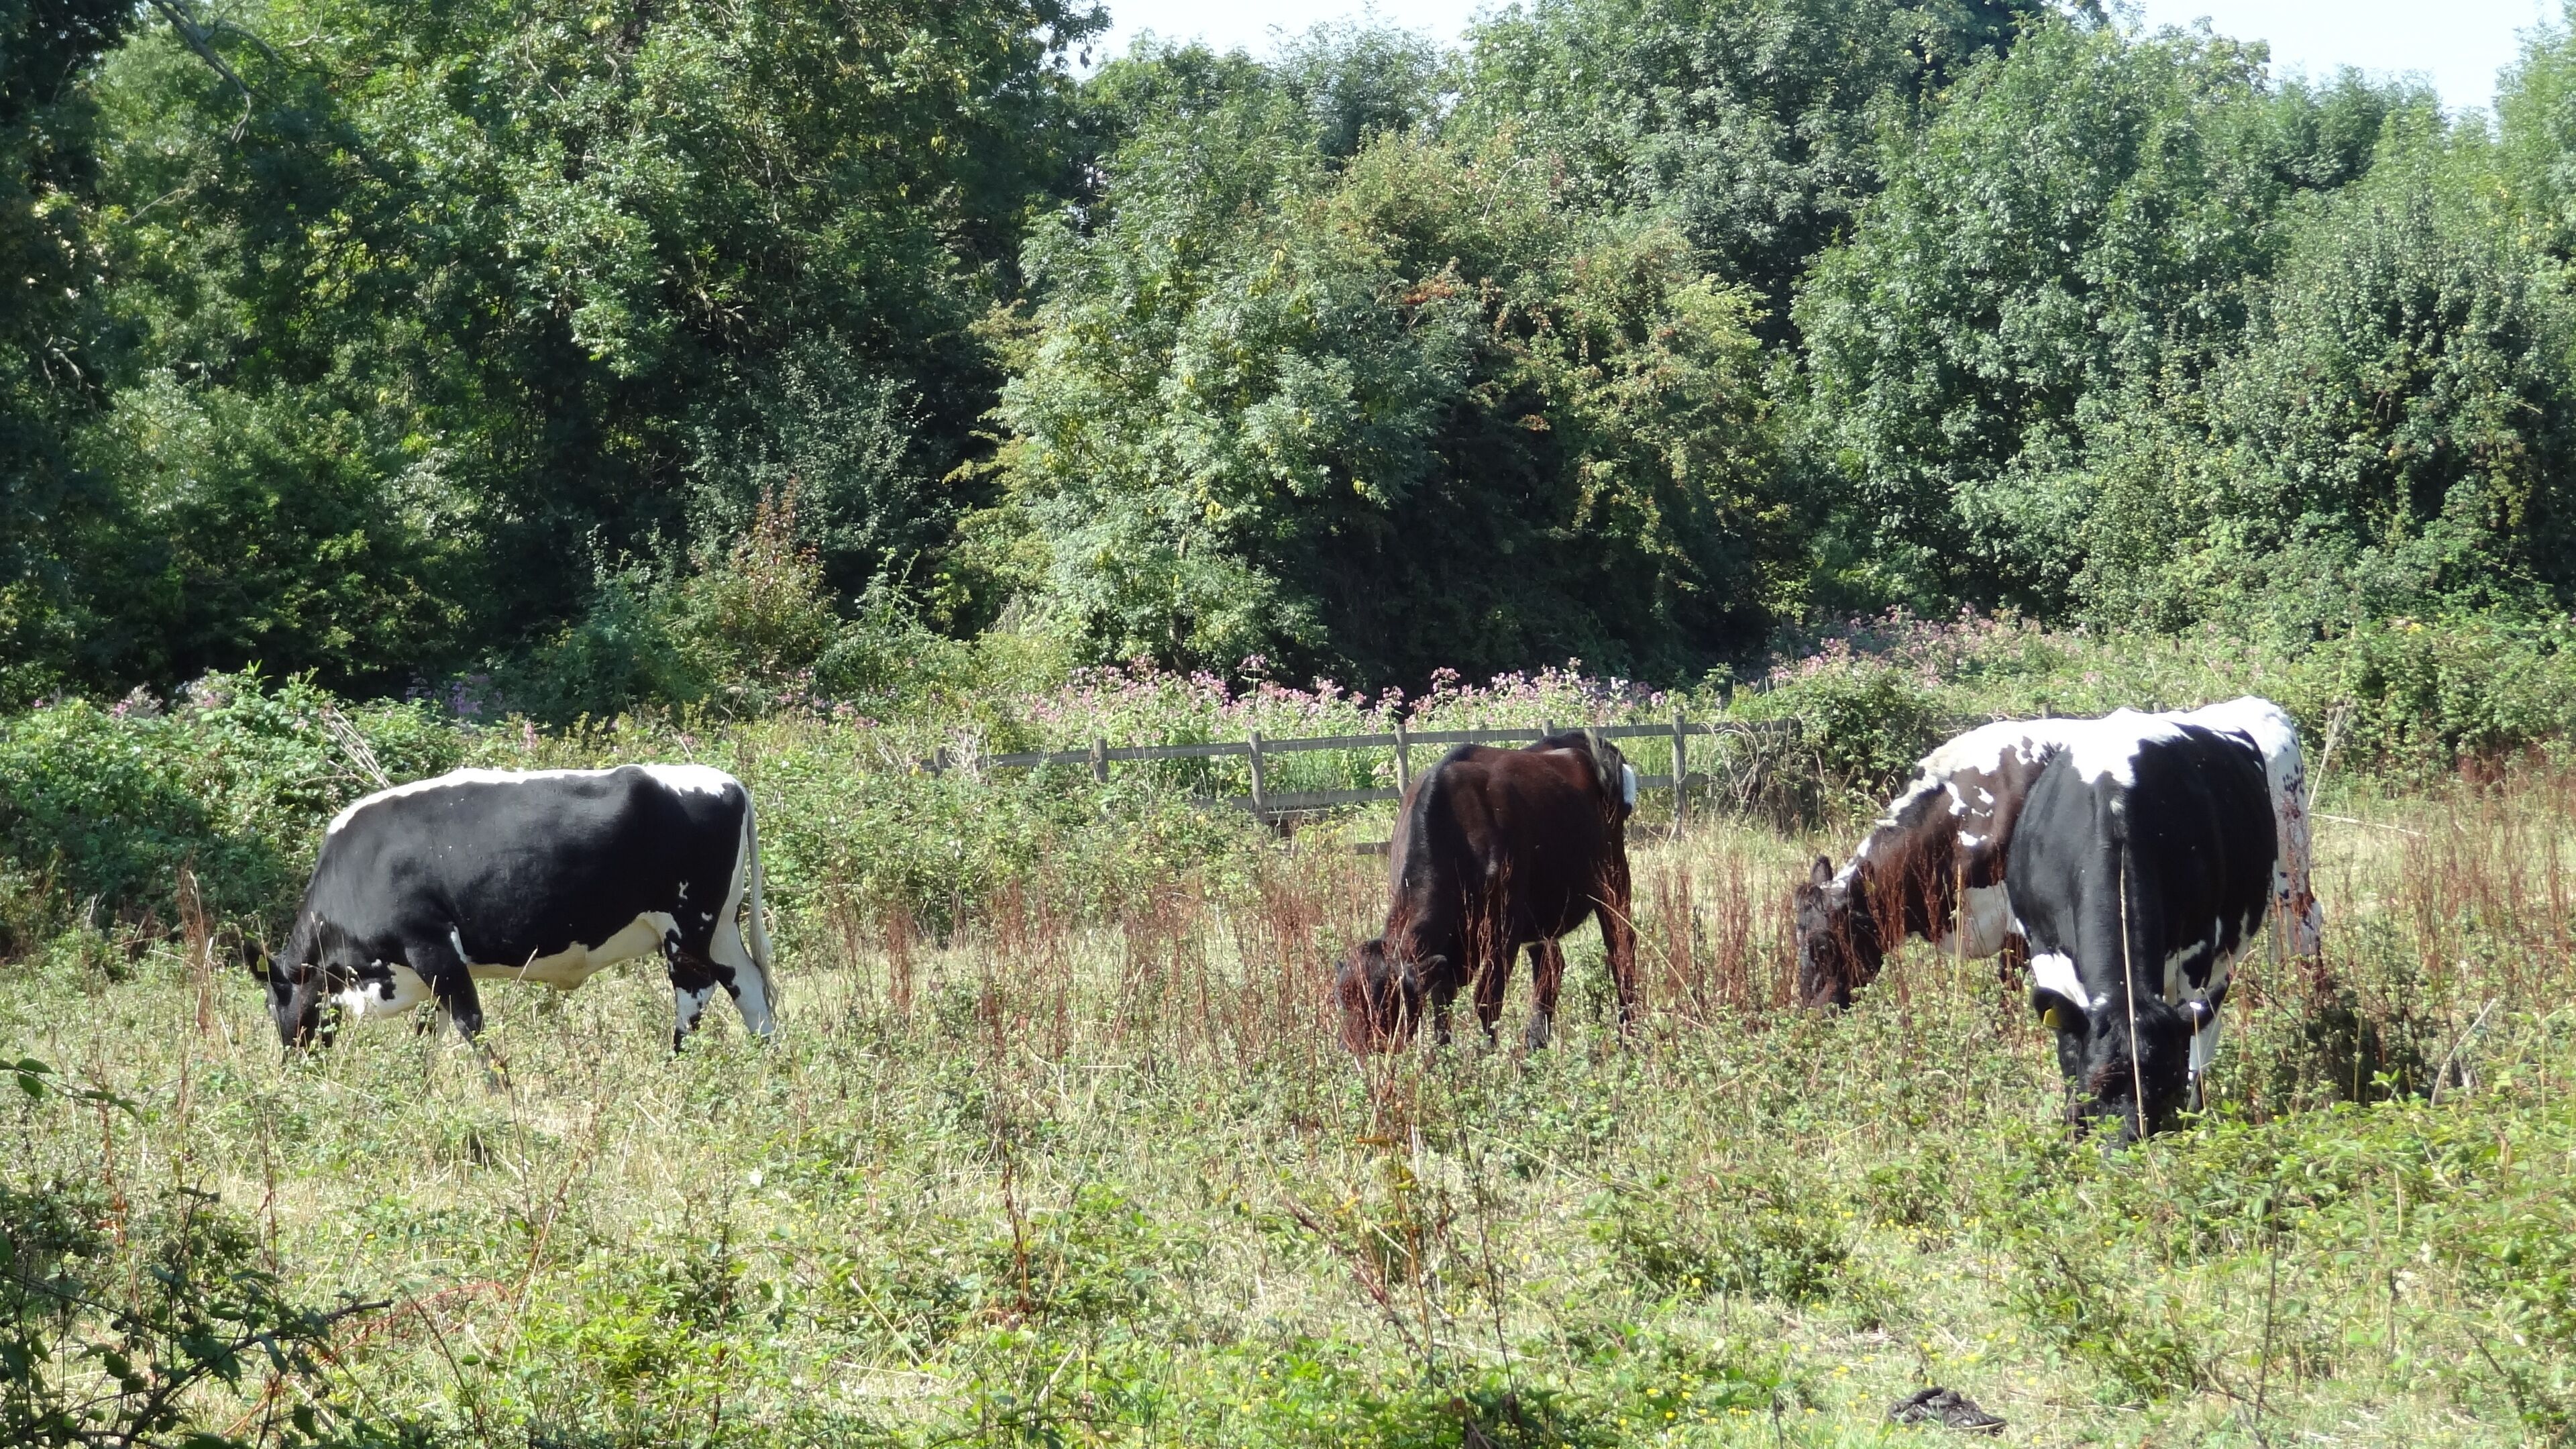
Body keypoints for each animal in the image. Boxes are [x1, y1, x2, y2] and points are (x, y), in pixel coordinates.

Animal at [250, 764, 778, 1053]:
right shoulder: (425, 967)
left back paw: (677, 1066)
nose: (292, 1066)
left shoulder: (433, 947)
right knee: (751, 990)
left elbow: (471, 1027)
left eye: (273, 1004)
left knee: (696, 995)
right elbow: (428, 1037)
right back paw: (768, 1064)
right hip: (721, 927)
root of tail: (726, 781)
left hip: (687, 926)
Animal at [1336, 730, 1639, 1052]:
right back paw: (1536, 1041)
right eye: (1341, 1002)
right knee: (1551, 964)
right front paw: (1441, 1056)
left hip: (1613, 879)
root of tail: (1580, 739)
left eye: (1384, 1002)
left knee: (1621, 950)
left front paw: (1487, 1055)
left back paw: (1628, 1034)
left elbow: (1487, 998)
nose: (1351, 1051)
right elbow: (1442, 1002)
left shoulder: (1504, 928)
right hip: (1543, 913)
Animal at [1794, 697, 2320, 1138]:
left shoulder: (2016, 928)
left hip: (2292, 870)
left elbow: (2009, 996)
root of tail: (2257, 704)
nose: (1809, 1016)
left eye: (1822, 945)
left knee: (2305, 927)